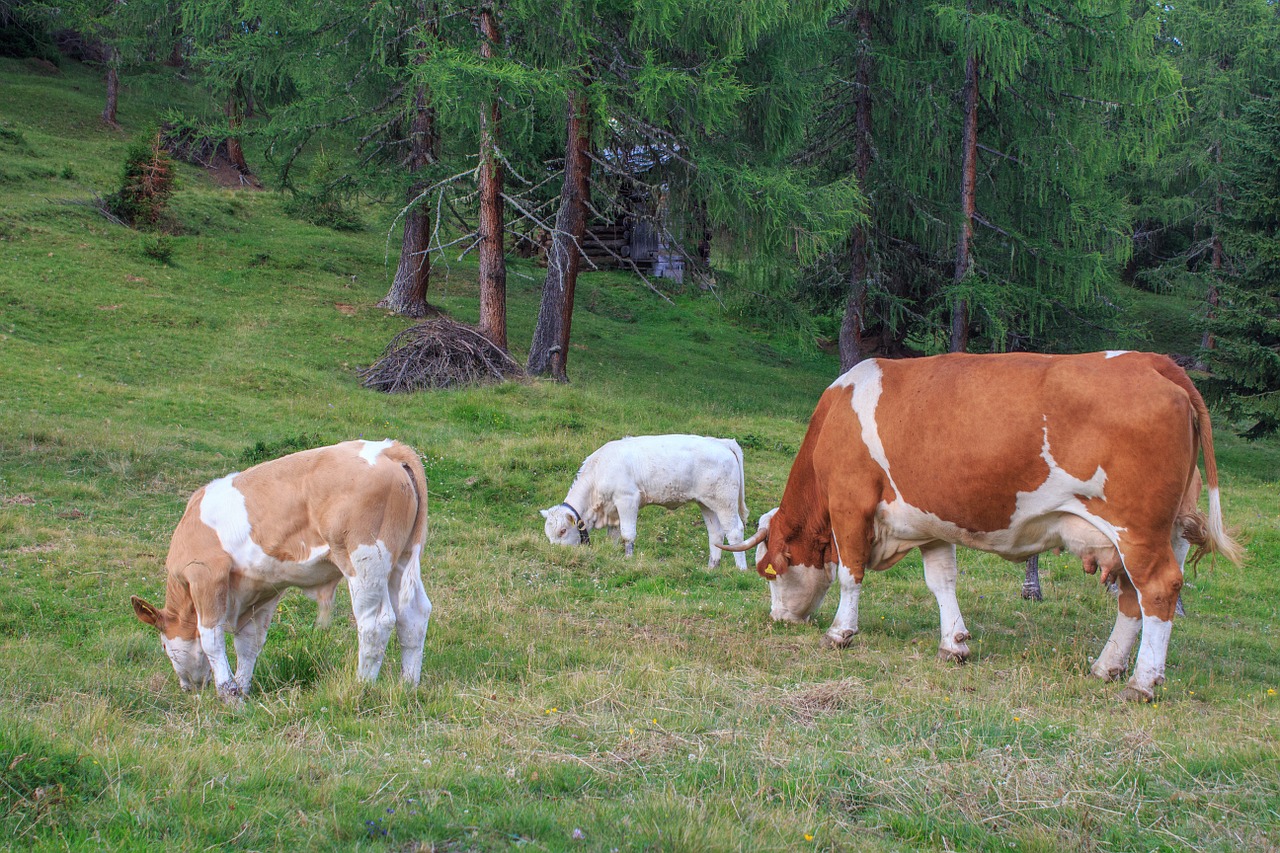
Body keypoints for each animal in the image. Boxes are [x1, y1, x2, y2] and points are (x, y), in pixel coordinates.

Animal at [130, 438, 432, 696]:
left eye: (164, 646)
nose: (187, 687)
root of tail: (388, 449)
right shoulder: (261, 588)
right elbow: (249, 643)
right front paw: (242, 690)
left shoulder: (206, 575)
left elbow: (211, 639)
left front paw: (227, 693)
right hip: (401, 559)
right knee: (413, 616)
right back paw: (408, 685)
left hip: (365, 559)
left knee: (375, 623)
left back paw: (362, 686)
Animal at [540, 432, 747, 563]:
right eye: (548, 535)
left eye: (562, 531)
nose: (557, 556)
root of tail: (721, 442)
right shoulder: (613, 511)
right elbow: (613, 537)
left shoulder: (627, 500)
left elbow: (628, 534)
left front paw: (628, 559)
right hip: (706, 504)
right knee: (716, 534)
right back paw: (712, 567)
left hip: (724, 502)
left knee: (734, 532)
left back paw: (740, 570)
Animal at [732, 350, 1239, 696]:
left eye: (769, 573)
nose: (779, 619)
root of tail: (1152, 361)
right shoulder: (931, 521)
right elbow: (942, 581)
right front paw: (954, 643)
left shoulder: (850, 504)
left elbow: (849, 573)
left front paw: (839, 633)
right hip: (1165, 532)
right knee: (1134, 600)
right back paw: (1107, 667)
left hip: (1139, 530)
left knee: (1158, 589)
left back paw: (1142, 682)